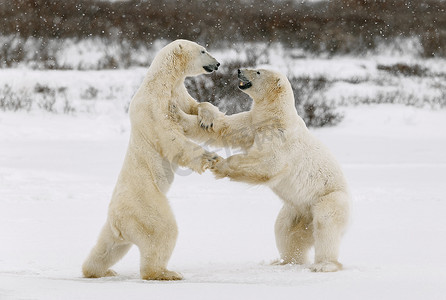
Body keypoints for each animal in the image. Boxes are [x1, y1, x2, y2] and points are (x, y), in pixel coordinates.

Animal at [82, 39, 221, 282]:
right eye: (203, 50)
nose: (218, 63)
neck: (162, 81)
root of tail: (118, 221)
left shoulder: (178, 92)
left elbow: (194, 109)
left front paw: (207, 118)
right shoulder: (153, 106)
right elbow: (171, 137)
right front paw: (209, 157)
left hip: (115, 227)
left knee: (108, 248)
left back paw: (99, 270)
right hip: (145, 208)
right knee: (162, 231)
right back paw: (166, 273)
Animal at [172, 68, 350, 272]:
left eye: (257, 71)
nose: (239, 70)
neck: (276, 115)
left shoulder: (280, 136)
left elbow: (269, 163)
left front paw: (218, 163)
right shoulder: (252, 123)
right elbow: (225, 129)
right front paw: (177, 111)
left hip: (328, 198)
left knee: (326, 225)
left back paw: (324, 265)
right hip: (295, 210)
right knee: (285, 230)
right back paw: (284, 261)